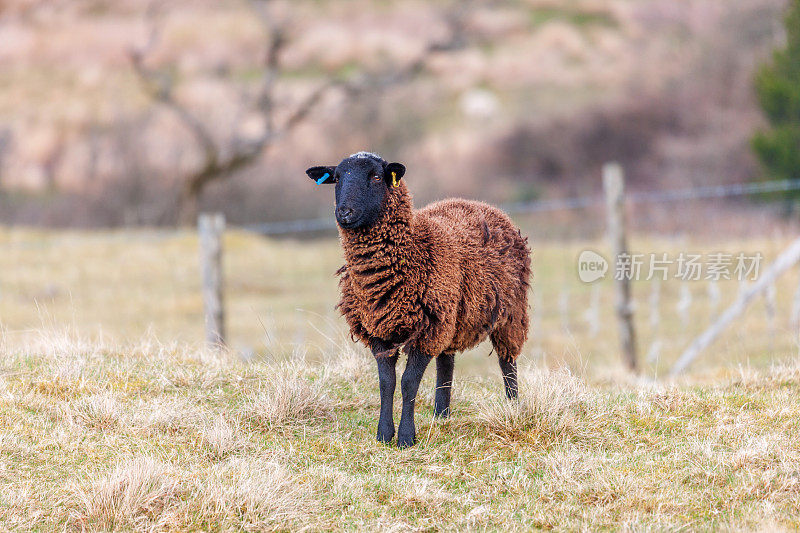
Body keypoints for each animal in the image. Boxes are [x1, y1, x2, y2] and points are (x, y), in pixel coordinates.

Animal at [306, 152, 532, 446]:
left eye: (376, 177)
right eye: (336, 178)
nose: (344, 212)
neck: (413, 250)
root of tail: (478, 204)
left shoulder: (427, 329)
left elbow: (408, 382)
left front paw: (405, 437)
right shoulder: (379, 328)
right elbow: (387, 382)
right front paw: (384, 434)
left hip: (510, 312)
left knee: (507, 362)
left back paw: (513, 406)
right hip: (451, 315)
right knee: (446, 362)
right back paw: (441, 414)